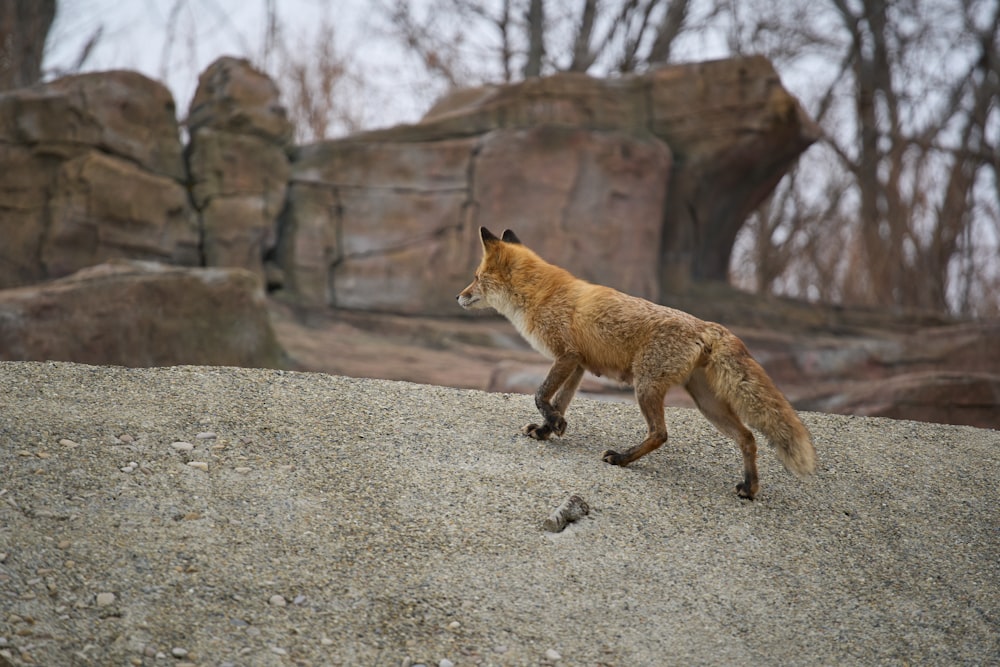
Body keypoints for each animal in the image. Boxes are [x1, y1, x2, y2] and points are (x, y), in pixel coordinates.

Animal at [458, 227, 816, 498]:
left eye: (476, 277)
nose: (458, 296)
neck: (541, 295)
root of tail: (706, 325)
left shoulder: (566, 356)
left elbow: (540, 395)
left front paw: (554, 425)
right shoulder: (578, 364)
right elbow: (558, 401)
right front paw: (548, 429)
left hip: (646, 387)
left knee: (661, 434)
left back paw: (622, 458)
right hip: (706, 403)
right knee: (748, 437)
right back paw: (750, 487)